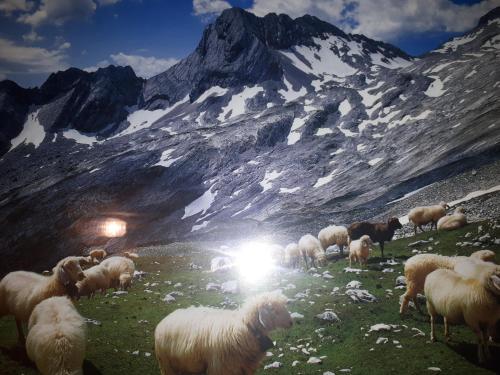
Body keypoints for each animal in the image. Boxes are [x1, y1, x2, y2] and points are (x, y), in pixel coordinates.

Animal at [154, 290, 292, 375]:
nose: (291, 322)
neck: (246, 328)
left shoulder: (244, 368)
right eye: (274, 310)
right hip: (167, 365)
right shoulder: (220, 368)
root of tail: (165, 320)